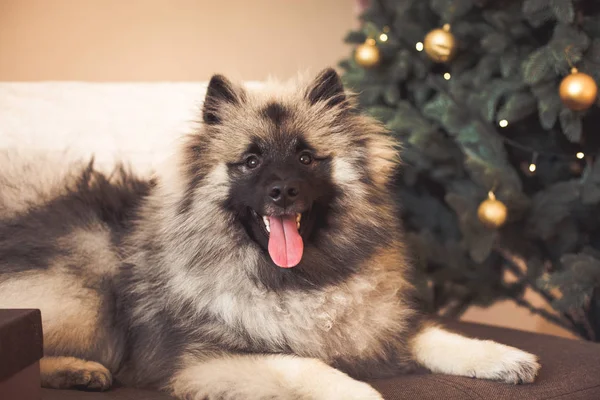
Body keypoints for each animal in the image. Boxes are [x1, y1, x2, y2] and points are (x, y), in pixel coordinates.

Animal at [0, 69, 540, 400]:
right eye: (252, 160)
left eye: (305, 157)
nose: (282, 192)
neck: (296, 280)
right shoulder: (211, 360)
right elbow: (304, 365)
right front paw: (357, 391)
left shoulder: (380, 329)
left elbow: (440, 337)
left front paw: (503, 357)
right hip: (90, 295)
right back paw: (78, 369)